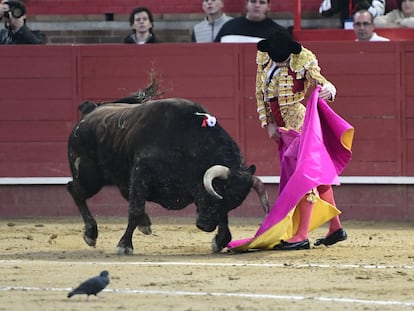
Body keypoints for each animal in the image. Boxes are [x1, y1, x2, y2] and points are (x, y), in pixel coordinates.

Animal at [66, 97, 270, 254]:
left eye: (232, 203)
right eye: (218, 190)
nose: (205, 226)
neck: (189, 145)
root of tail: (89, 112)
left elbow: (224, 218)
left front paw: (219, 241)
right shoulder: (142, 173)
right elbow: (135, 209)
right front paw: (124, 245)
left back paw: (144, 224)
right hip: (90, 177)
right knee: (75, 190)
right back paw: (91, 234)